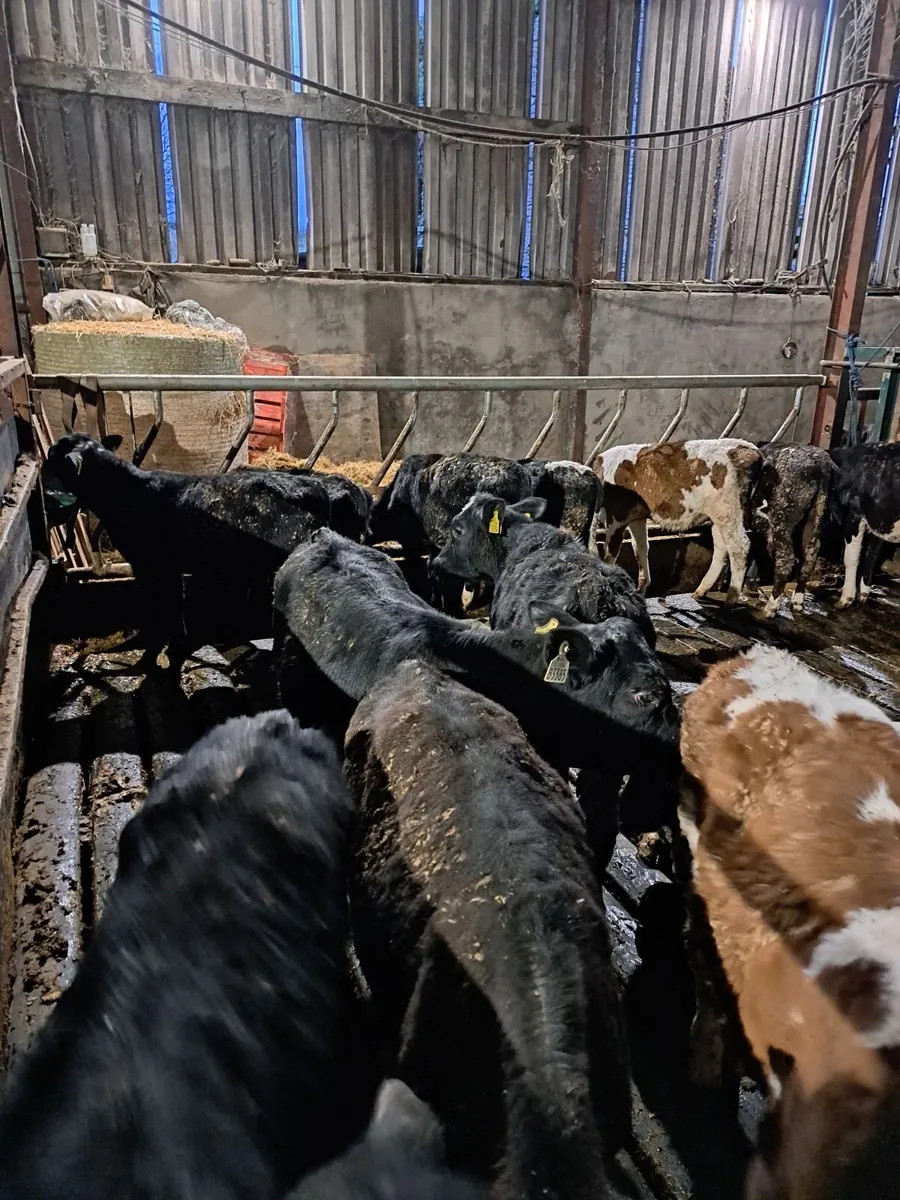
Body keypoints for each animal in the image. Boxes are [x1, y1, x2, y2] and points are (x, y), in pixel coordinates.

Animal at [44, 433, 333, 671]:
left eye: (53, 458)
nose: (47, 500)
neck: (129, 494)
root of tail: (312, 487)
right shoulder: (169, 569)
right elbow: (176, 606)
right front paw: (174, 649)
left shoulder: (151, 567)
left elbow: (162, 609)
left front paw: (149, 658)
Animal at [593, 439, 761, 601]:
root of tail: (748, 448)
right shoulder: (637, 518)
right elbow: (640, 548)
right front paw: (641, 589)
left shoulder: (616, 517)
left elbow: (610, 553)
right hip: (719, 517)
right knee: (721, 548)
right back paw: (700, 591)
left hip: (728, 510)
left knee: (740, 547)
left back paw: (730, 601)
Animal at [748, 444, 836, 617]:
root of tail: (821, 461)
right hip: (815, 517)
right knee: (809, 556)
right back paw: (797, 602)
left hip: (782, 520)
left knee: (786, 560)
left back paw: (771, 607)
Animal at [829, 442, 900, 610]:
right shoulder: (879, 521)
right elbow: (871, 556)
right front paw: (863, 595)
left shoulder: (855, 514)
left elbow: (851, 557)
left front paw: (845, 599)